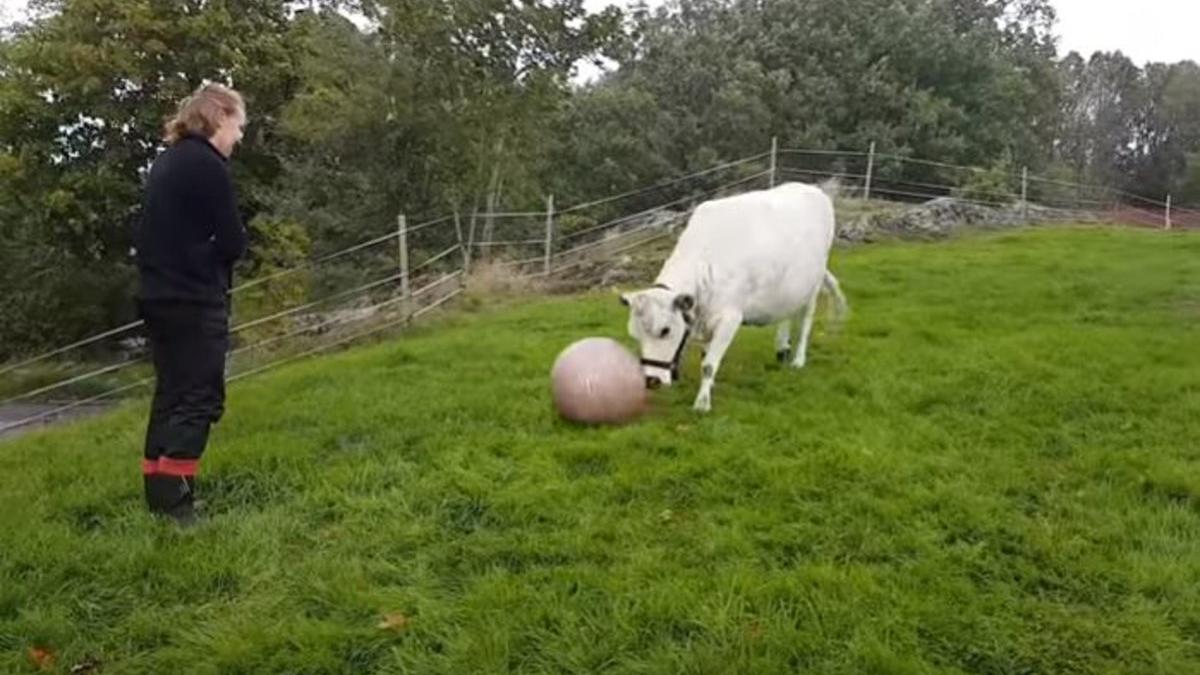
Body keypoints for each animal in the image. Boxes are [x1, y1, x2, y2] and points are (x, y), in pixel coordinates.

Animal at [624, 180, 849, 410]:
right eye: (635, 335)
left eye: (665, 330)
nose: (651, 381)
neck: (706, 264)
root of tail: (812, 188)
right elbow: (706, 357)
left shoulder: (730, 318)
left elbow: (708, 364)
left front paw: (702, 403)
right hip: (789, 288)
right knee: (786, 315)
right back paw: (783, 349)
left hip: (814, 283)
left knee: (806, 321)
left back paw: (798, 359)